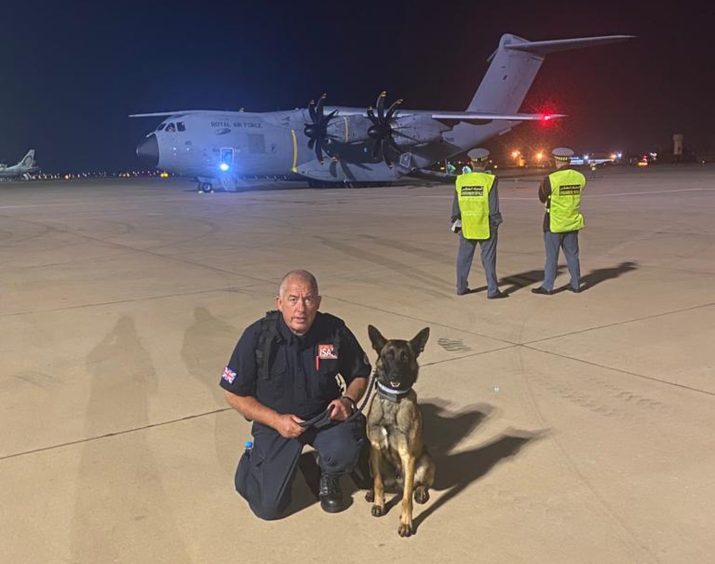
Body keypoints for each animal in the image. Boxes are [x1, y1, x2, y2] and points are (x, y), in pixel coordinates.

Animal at [366, 324, 434, 536]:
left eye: (405, 357)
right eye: (388, 355)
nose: (395, 375)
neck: (392, 402)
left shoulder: (408, 456)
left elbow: (406, 498)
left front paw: (406, 523)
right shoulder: (374, 448)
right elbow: (378, 482)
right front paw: (379, 503)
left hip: (425, 460)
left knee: (419, 485)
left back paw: (420, 492)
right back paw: (371, 492)